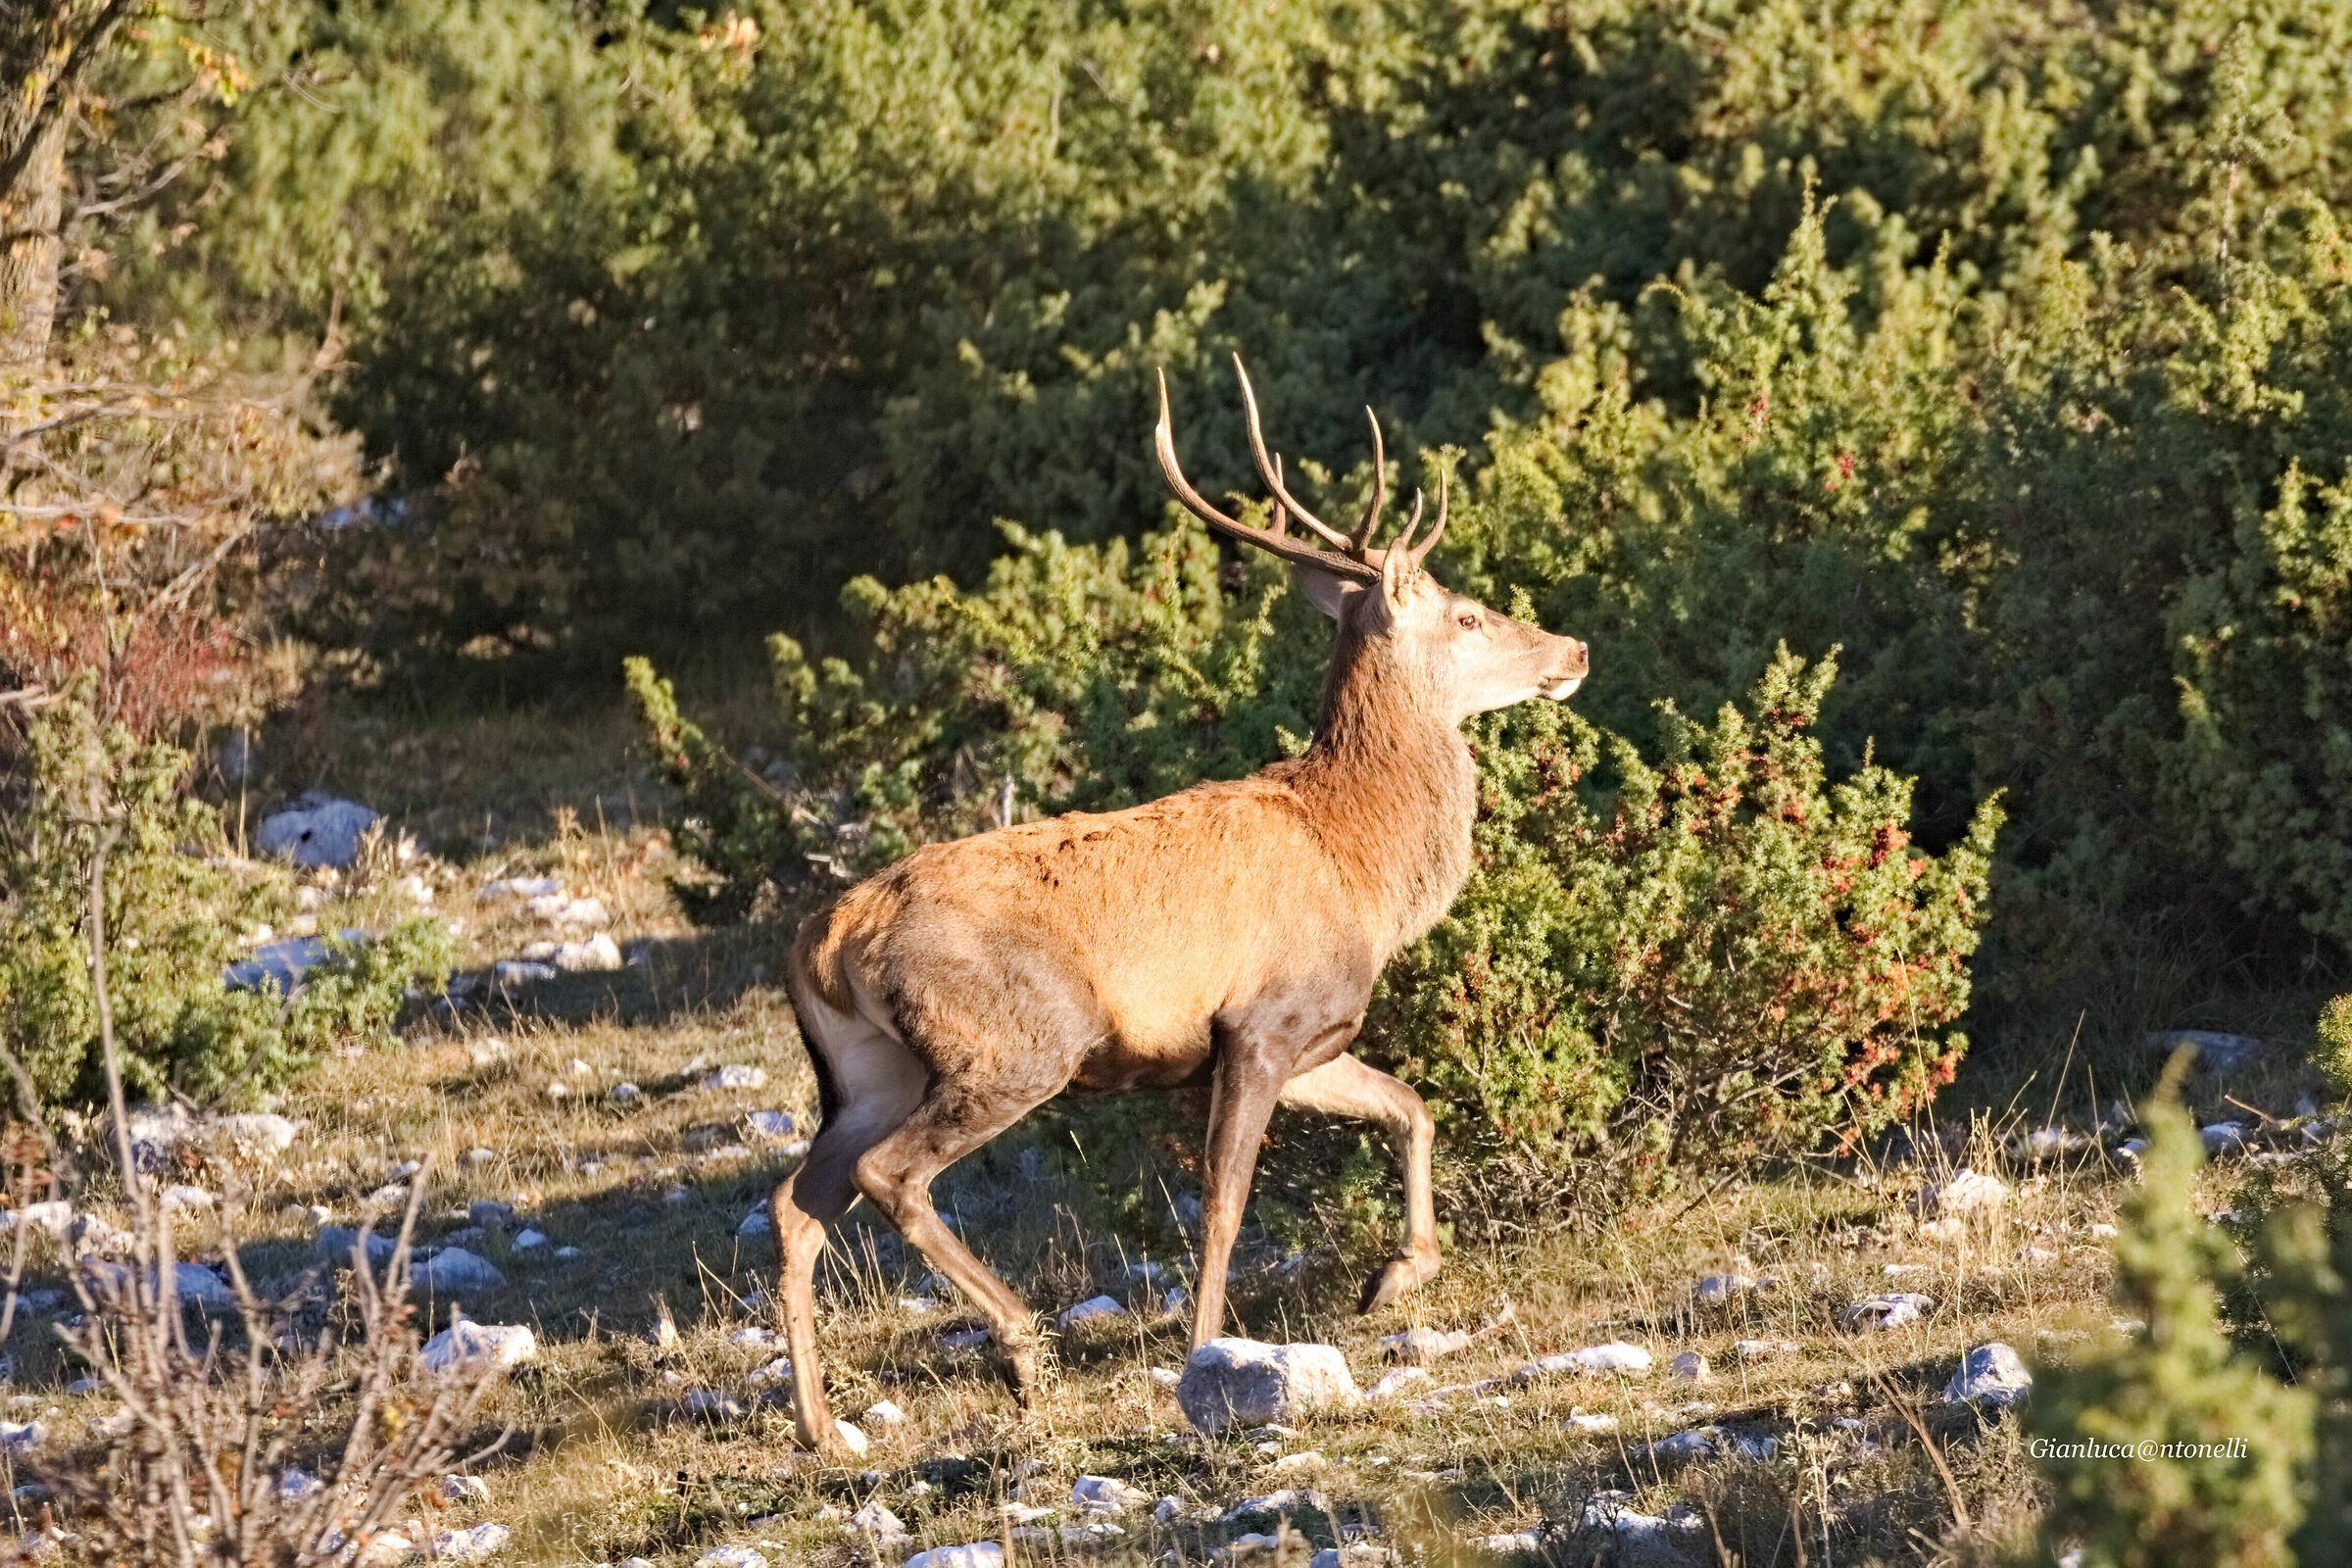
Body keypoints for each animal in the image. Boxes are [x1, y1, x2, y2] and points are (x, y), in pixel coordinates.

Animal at [768, 354, 1589, 1453]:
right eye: (1467, 614)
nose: (1573, 649)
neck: (1363, 864)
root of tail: (823, 942)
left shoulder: (1312, 1035)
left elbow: (1409, 1105)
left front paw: (1393, 1276)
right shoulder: (1259, 1022)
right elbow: (1226, 1200)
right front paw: (1210, 1351)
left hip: (868, 1071)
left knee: (796, 1200)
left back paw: (821, 1424)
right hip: (1016, 1041)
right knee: (887, 1176)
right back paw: (1021, 1348)